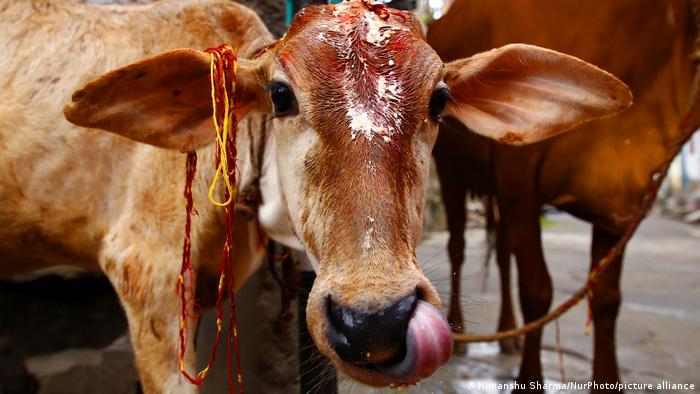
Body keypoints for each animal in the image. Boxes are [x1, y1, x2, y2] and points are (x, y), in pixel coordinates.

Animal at [430, 0, 696, 390]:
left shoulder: (619, 200)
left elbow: (606, 300)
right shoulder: (518, 178)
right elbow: (536, 290)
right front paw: (528, 380)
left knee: (503, 255)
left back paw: (509, 332)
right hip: (453, 172)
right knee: (458, 249)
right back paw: (460, 327)